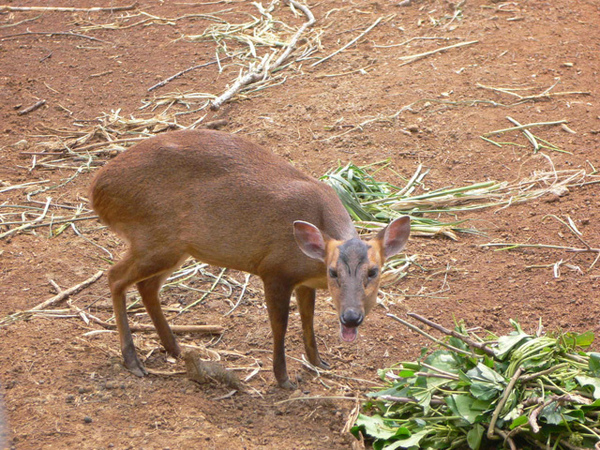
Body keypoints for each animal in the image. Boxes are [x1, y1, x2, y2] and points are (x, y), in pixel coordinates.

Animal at [89, 128, 410, 388]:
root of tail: (96, 189)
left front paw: (318, 362)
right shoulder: (274, 270)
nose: (352, 317)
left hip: (174, 249)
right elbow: (280, 325)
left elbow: (308, 319)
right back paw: (132, 360)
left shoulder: (304, 281)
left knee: (146, 286)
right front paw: (283, 378)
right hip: (153, 238)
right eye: (333, 272)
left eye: (374, 271)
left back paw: (175, 348)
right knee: (115, 276)